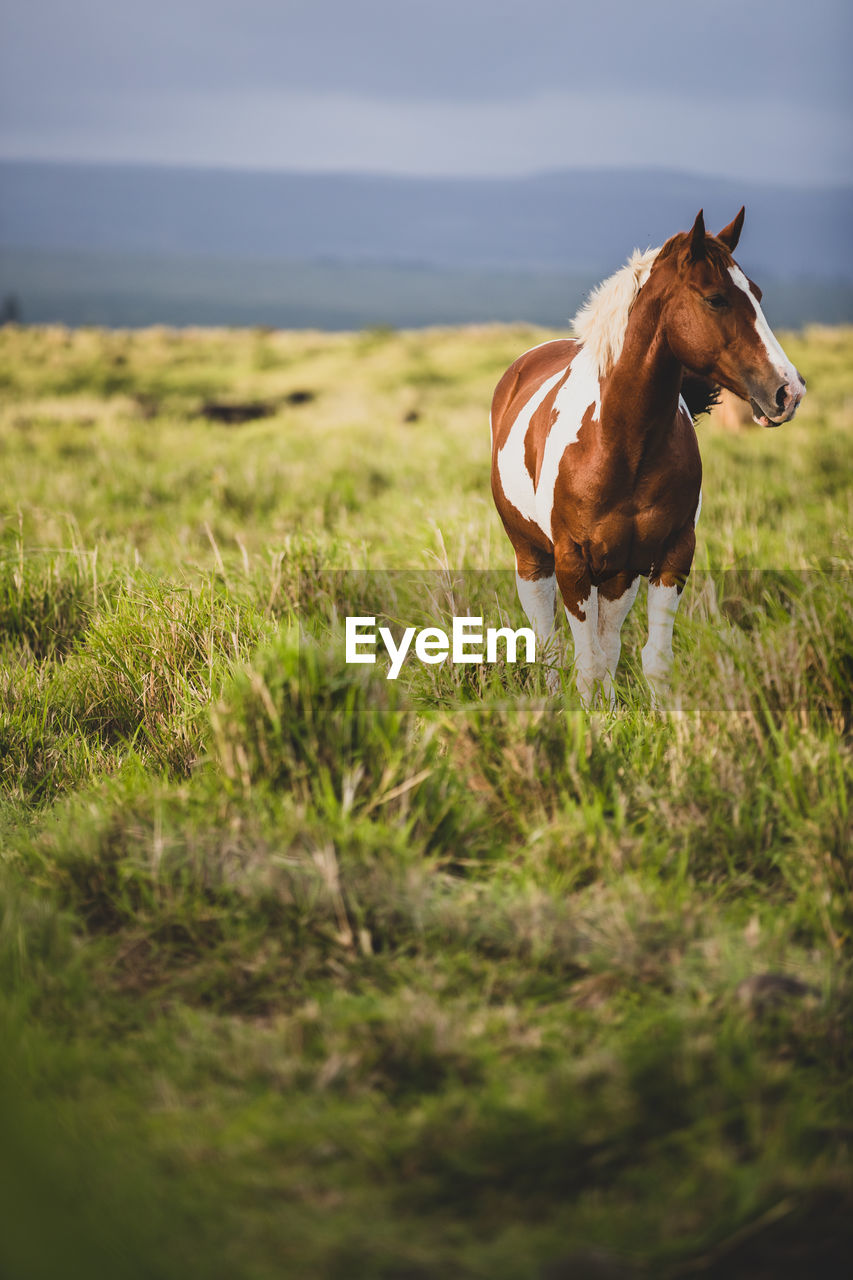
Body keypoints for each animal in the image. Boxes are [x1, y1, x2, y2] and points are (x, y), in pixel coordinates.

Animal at [491, 211, 804, 711]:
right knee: (549, 645)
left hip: (619, 573)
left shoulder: (672, 555)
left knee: (608, 644)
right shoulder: (572, 564)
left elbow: (650, 661)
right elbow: (585, 664)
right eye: (715, 298)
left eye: (756, 293)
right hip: (533, 560)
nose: (788, 391)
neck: (620, 444)